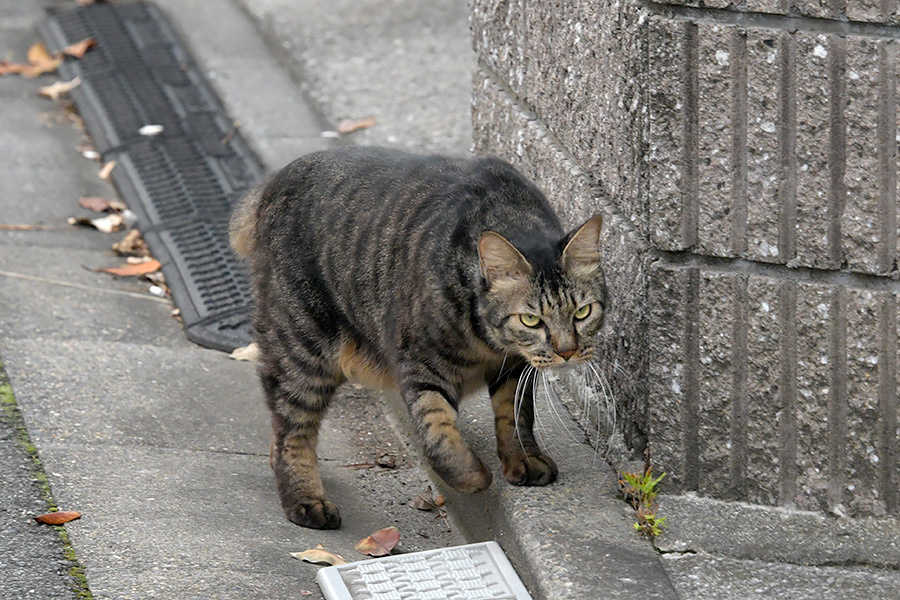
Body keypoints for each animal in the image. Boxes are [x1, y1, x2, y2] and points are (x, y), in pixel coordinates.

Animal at [229, 146, 608, 528]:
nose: (567, 351)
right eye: (531, 319)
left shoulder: (514, 366)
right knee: (291, 431)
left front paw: (523, 459)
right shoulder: (419, 363)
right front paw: (471, 475)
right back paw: (306, 500)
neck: (487, 341)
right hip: (303, 346)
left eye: (582, 312)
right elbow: (436, 430)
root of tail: (272, 182)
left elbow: (515, 416)